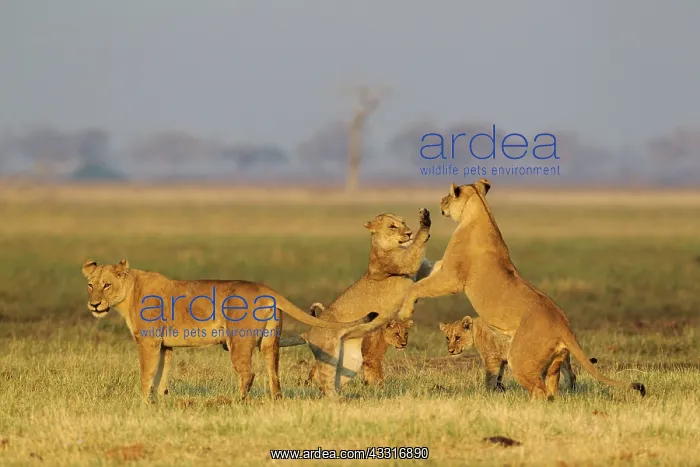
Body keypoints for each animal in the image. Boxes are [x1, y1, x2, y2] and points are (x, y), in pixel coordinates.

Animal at [81, 259, 378, 403]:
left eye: (106, 285)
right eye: (90, 285)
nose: (93, 304)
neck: (129, 293)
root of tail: (266, 289)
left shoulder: (149, 342)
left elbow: (146, 374)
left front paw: (142, 402)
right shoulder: (165, 346)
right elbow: (161, 376)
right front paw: (157, 401)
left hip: (239, 341)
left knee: (248, 373)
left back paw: (236, 401)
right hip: (270, 342)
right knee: (274, 374)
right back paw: (276, 401)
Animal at [278, 208, 435, 398]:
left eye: (403, 222)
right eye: (392, 226)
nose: (409, 232)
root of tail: (309, 331)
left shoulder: (419, 270)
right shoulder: (404, 262)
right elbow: (416, 247)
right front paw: (424, 221)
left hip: (351, 361)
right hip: (329, 354)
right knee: (326, 380)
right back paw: (335, 399)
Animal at [440, 316, 597, 392]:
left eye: (457, 337)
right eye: (447, 338)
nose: (450, 350)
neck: (475, 332)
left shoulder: (492, 358)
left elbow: (490, 378)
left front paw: (487, 394)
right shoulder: (501, 360)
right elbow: (498, 377)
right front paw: (499, 390)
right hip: (562, 357)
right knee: (571, 375)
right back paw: (569, 391)